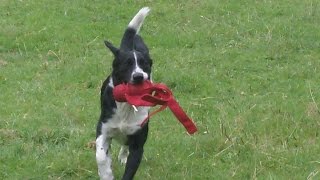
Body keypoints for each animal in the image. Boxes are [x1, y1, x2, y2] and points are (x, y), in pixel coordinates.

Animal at [95, 7, 153, 180]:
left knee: (125, 145)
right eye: (126, 64)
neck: (127, 106)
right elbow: (101, 155)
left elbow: (130, 168)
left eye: (145, 64)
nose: (138, 76)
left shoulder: (138, 143)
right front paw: (106, 173)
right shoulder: (103, 129)